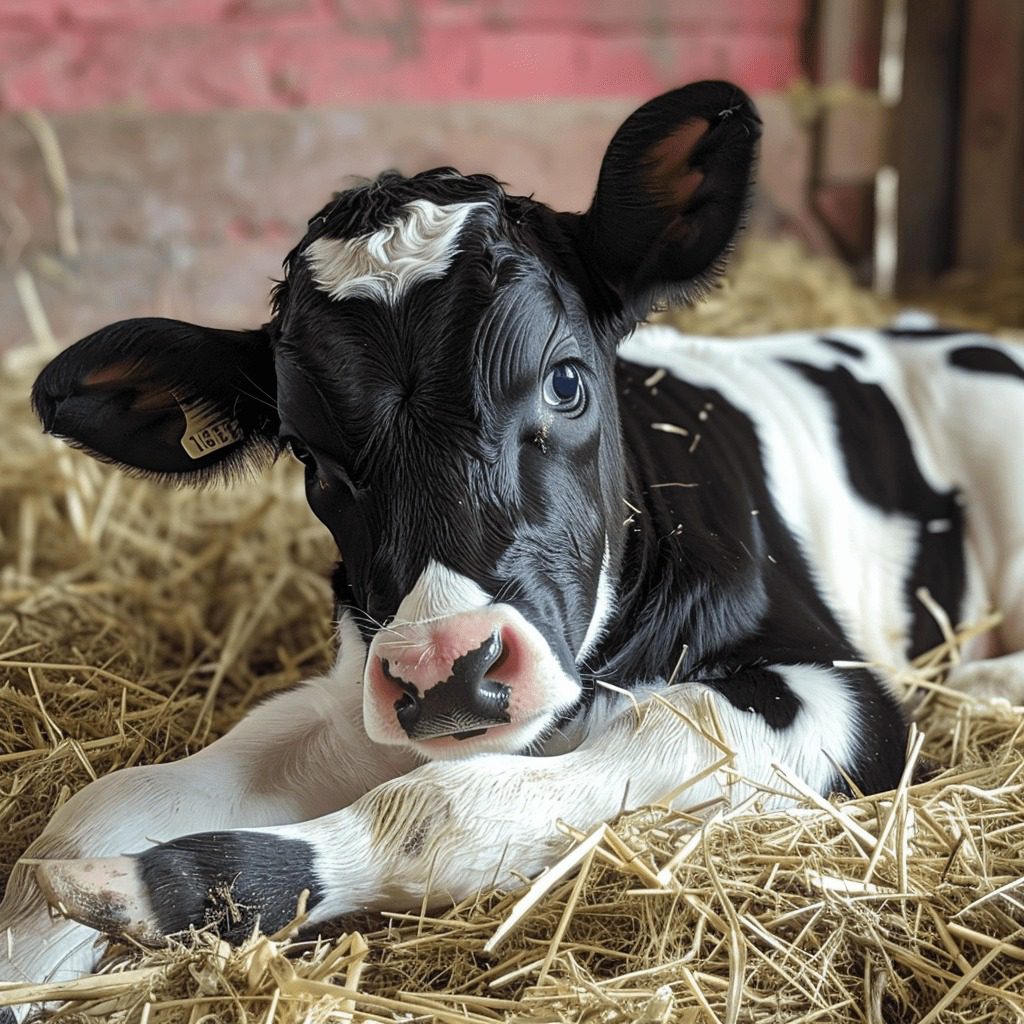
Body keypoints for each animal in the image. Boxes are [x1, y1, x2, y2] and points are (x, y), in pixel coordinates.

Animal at [2, 81, 1024, 1007]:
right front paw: (27, 952)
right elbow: (104, 805)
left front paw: (169, 888)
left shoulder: (842, 694)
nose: (447, 671)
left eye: (565, 381)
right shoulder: (358, 690)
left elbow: (440, 806)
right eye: (310, 455)